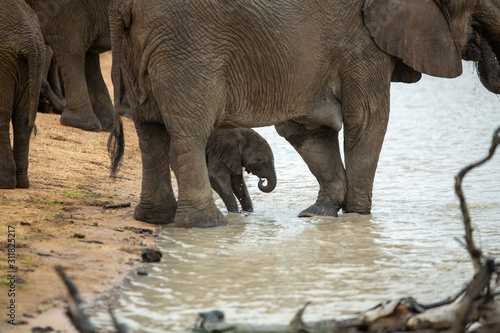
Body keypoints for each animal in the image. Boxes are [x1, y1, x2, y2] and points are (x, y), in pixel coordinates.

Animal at [108, 0, 500, 227]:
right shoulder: (361, 40)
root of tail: (122, 6)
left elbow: (306, 129)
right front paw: (358, 216)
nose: (483, 49)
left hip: (140, 49)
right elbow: (367, 119)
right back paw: (206, 224)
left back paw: (156, 218)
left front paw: (320, 213)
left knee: (149, 131)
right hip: (189, 49)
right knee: (188, 133)